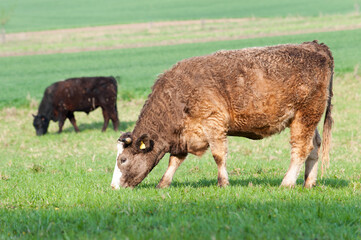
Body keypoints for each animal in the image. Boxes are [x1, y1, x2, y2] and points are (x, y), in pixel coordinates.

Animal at [109, 41, 332, 190]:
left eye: (123, 160)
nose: (113, 186)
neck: (177, 97)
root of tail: (313, 45)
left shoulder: (213, 123)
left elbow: (218, 155)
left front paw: (223, 182)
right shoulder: (184, 135)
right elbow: (174, 160)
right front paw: (163, 184)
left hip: (305, 115)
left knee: (301, 149)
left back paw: (287, 183)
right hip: (308, 119)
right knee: (315, 146)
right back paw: (308, 182)